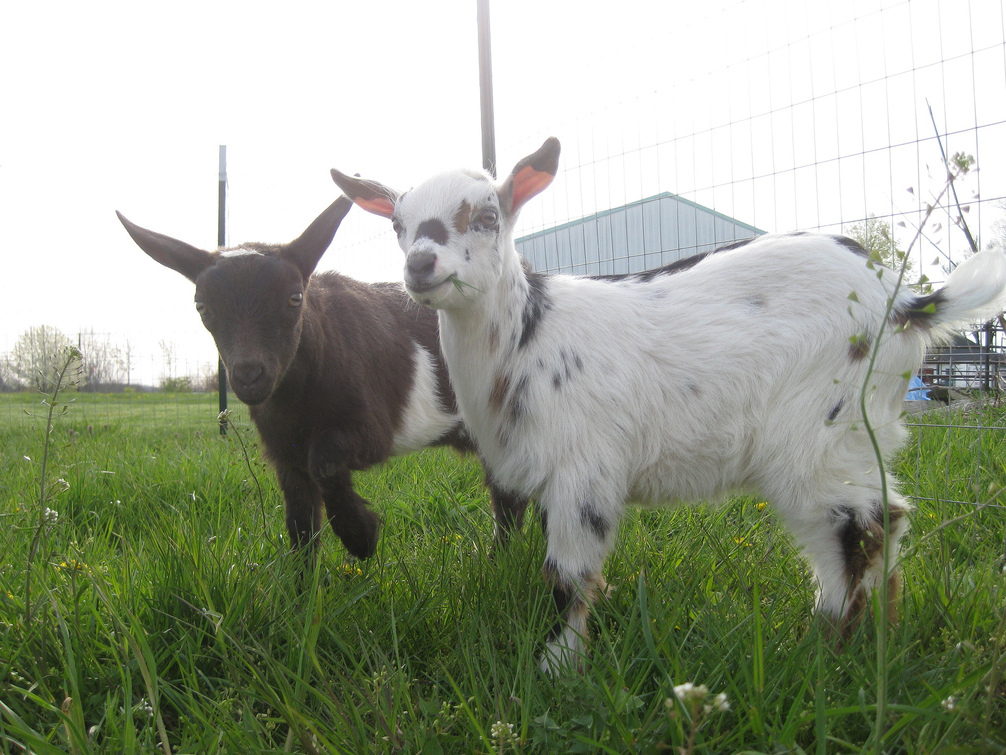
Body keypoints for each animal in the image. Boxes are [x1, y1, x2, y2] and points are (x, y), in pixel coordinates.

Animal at [116, 198, 527, 563]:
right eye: (202, 307)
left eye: (295, 298)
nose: (249, 375)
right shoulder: (284, 454)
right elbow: (300, 523)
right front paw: (304, 590)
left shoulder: (373, 427)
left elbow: (324, 459)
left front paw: (360, 535)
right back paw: (498, 561)